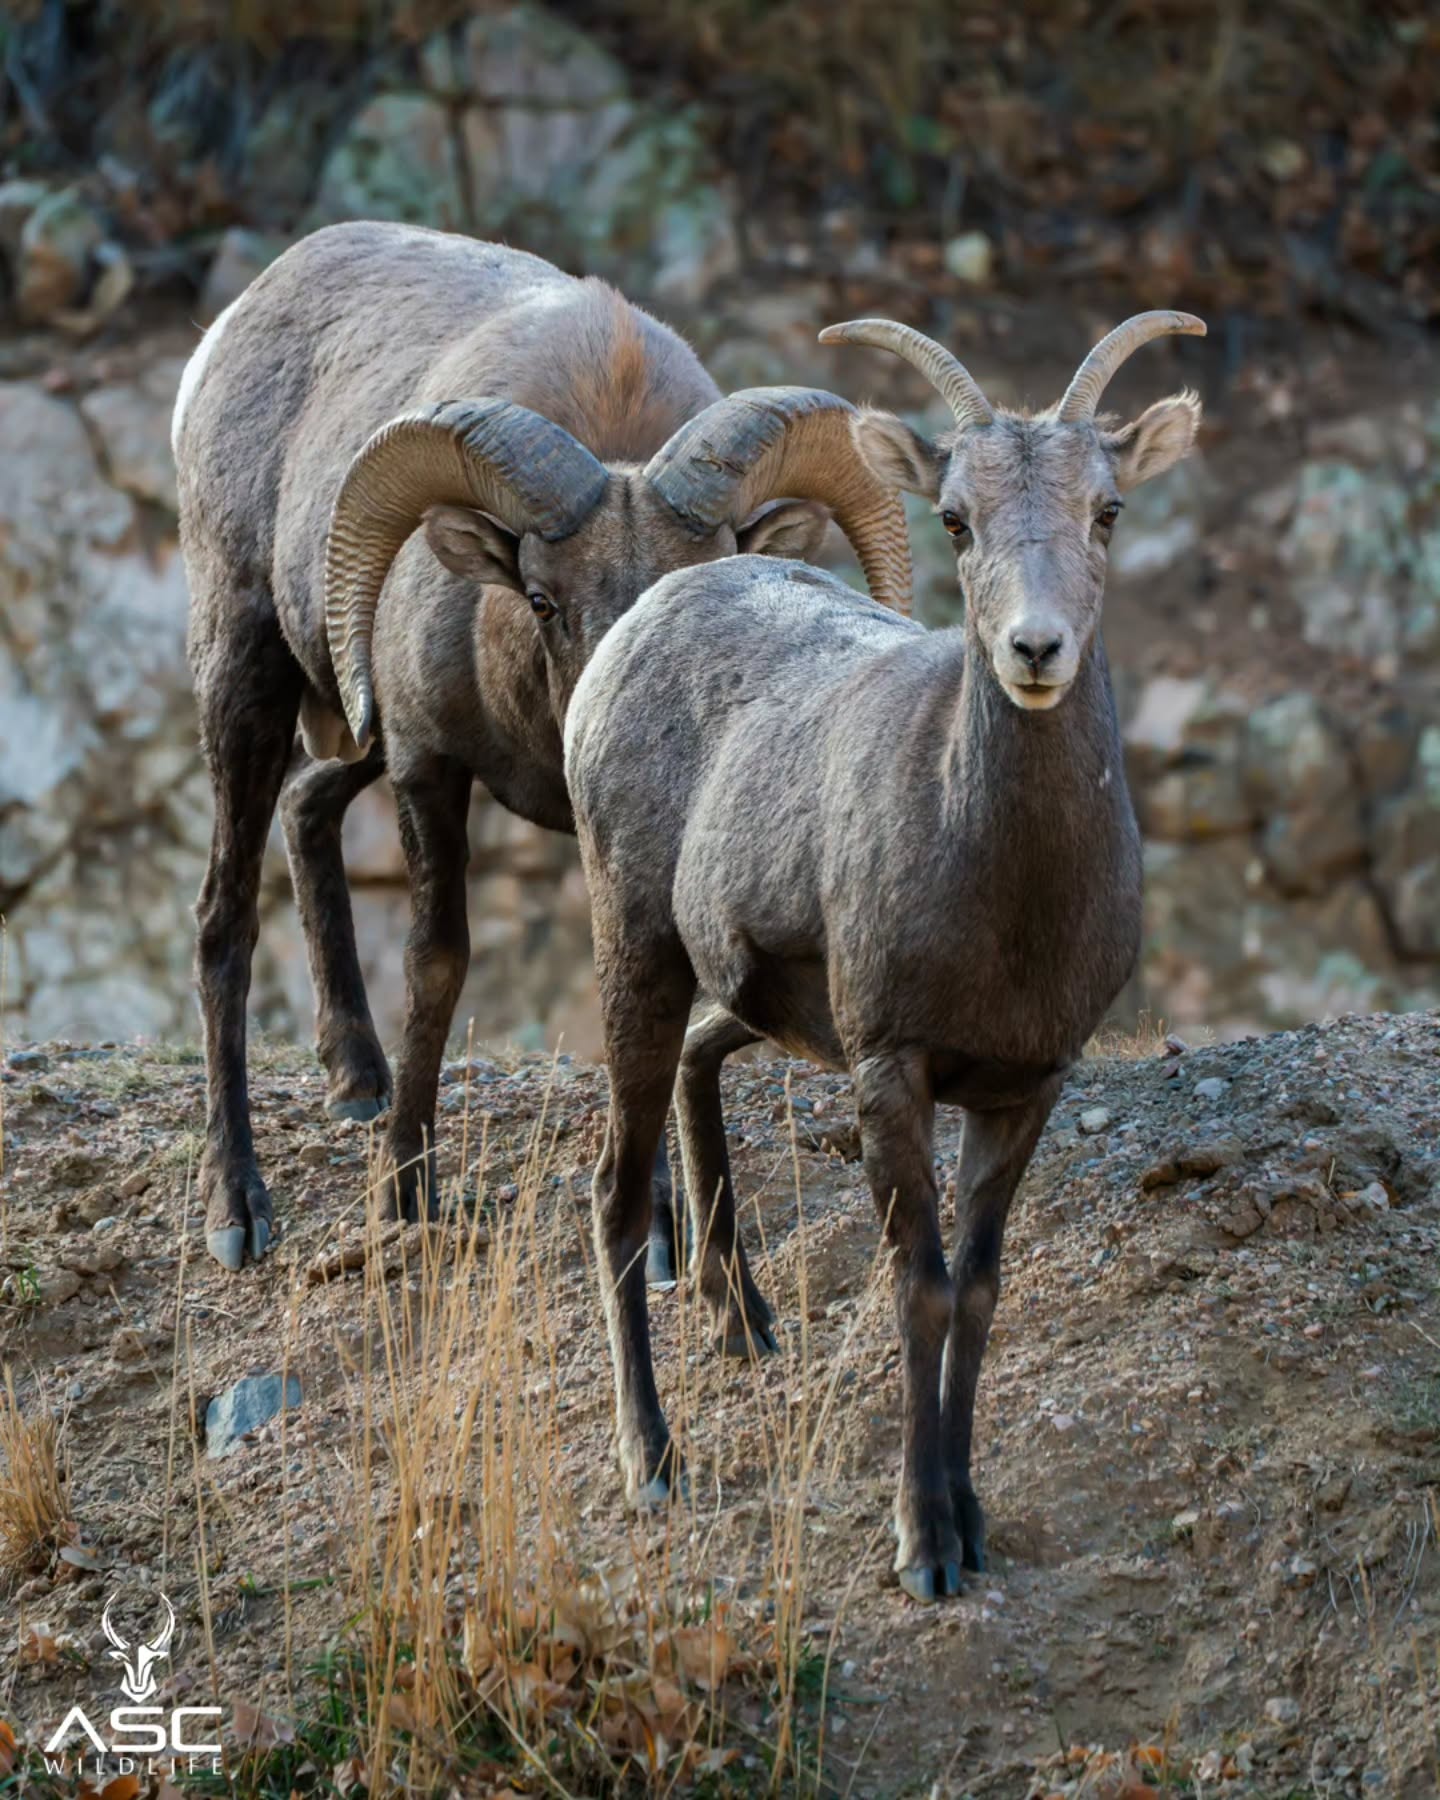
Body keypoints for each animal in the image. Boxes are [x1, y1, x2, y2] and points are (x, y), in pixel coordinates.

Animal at [174, 219, 910, 1273]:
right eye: (540, 600)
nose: (621, 708)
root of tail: (230, 328)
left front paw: (660, 1233)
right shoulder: (427, 766)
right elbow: (436, 964)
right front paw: (405, 1193)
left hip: (350, 722)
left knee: (307, 807)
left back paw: (355, 1079)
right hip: (248, 679)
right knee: (223, 917)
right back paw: (236, 1210)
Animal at [563, 311, 1205, 1599]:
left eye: (1109, 510)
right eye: (954, 517)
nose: (1035, 649)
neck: (1007, 902)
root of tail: (636, 627)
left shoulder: (1024, 1089)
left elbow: (982, 1290)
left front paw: (974, 1519)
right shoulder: (890, 1072)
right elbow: (920, 1288)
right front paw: (925, 1547)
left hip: (755, 1000)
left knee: (703, 1068)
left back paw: (744, 1319)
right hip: (638, 962)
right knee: (613, 1190)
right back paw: (653, 1462)